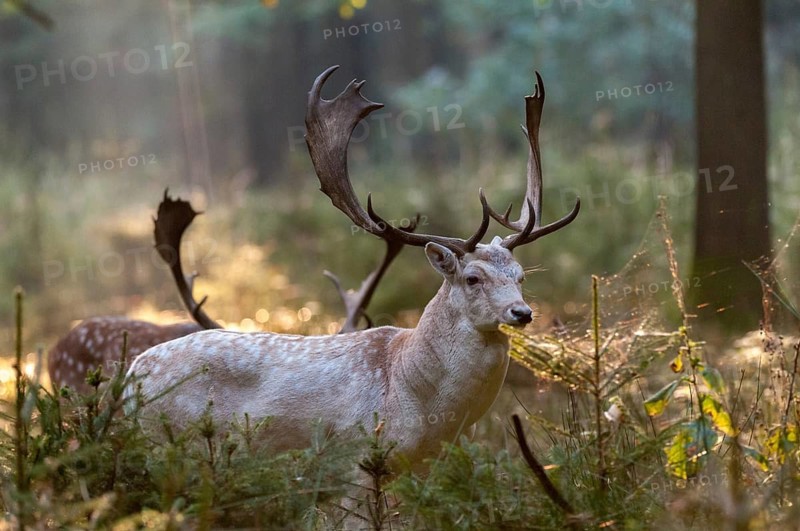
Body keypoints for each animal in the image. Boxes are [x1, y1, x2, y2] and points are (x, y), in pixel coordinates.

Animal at [124, 66, 580, 473]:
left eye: (520, 276)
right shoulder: (354, 462)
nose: (522, 313)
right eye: (472, 278)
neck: (412, 397)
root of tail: (129, 376)